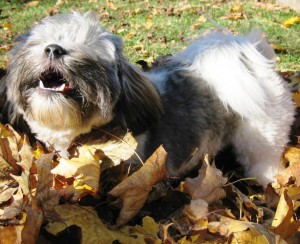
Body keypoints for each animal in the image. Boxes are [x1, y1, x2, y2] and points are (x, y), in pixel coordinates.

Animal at [0, 11, 296, 187]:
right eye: (37, 43)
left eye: (88, 51)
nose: (54, 49)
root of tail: (251, 55)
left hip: (262, 137)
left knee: (264, 160)